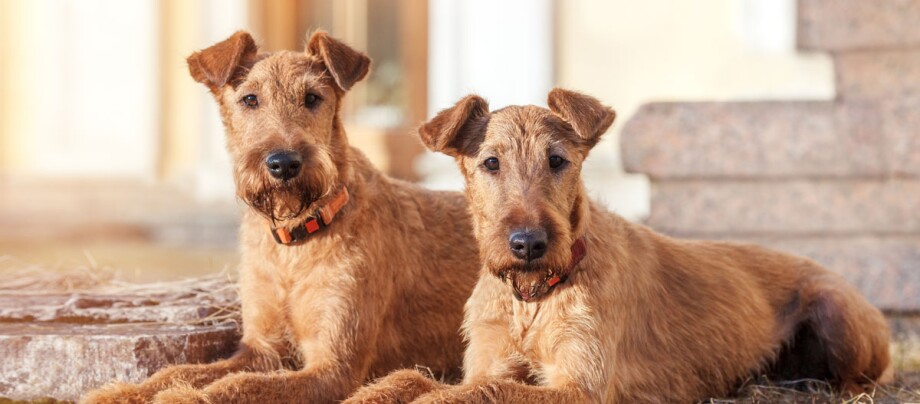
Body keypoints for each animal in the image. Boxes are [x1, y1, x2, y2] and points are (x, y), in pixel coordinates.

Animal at [82, 31, 478, 404]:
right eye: (249, 99)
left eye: (313, 98)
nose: (284, 163)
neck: (294, 243)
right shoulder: (260, 348)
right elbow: (181, 371)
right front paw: (122, 392)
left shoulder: (333, 367)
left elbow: (240, 386)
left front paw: (186, 397)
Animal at [346, 90, 892, 402]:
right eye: (491, 162)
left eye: (557, 160)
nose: (528, 244)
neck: (533, 298)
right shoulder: (488, 361)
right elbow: (410, 378)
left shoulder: (579, 387)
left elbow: (477, 393)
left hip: (838, 313)